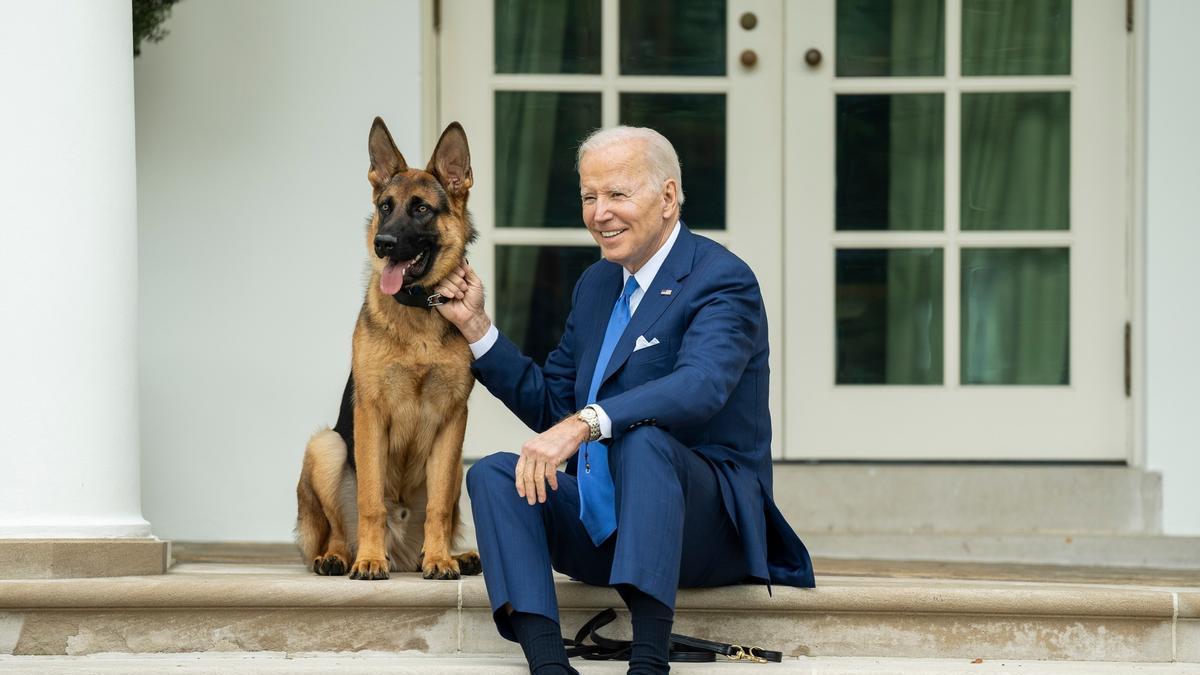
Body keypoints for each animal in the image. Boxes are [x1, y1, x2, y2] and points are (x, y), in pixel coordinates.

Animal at [296, 115, 482, 578]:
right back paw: (340, 557)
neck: (417, 310)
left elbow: (438, 508)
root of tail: (402, 554)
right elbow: (370, 501)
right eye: (385, 207)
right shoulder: (370, 415)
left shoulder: (453, 421)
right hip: (326, 446)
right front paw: (368, 560)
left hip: (458, 466)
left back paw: (450, 555)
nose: (383, 243)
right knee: (338, 528)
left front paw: (440, 559)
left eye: (421, 209)